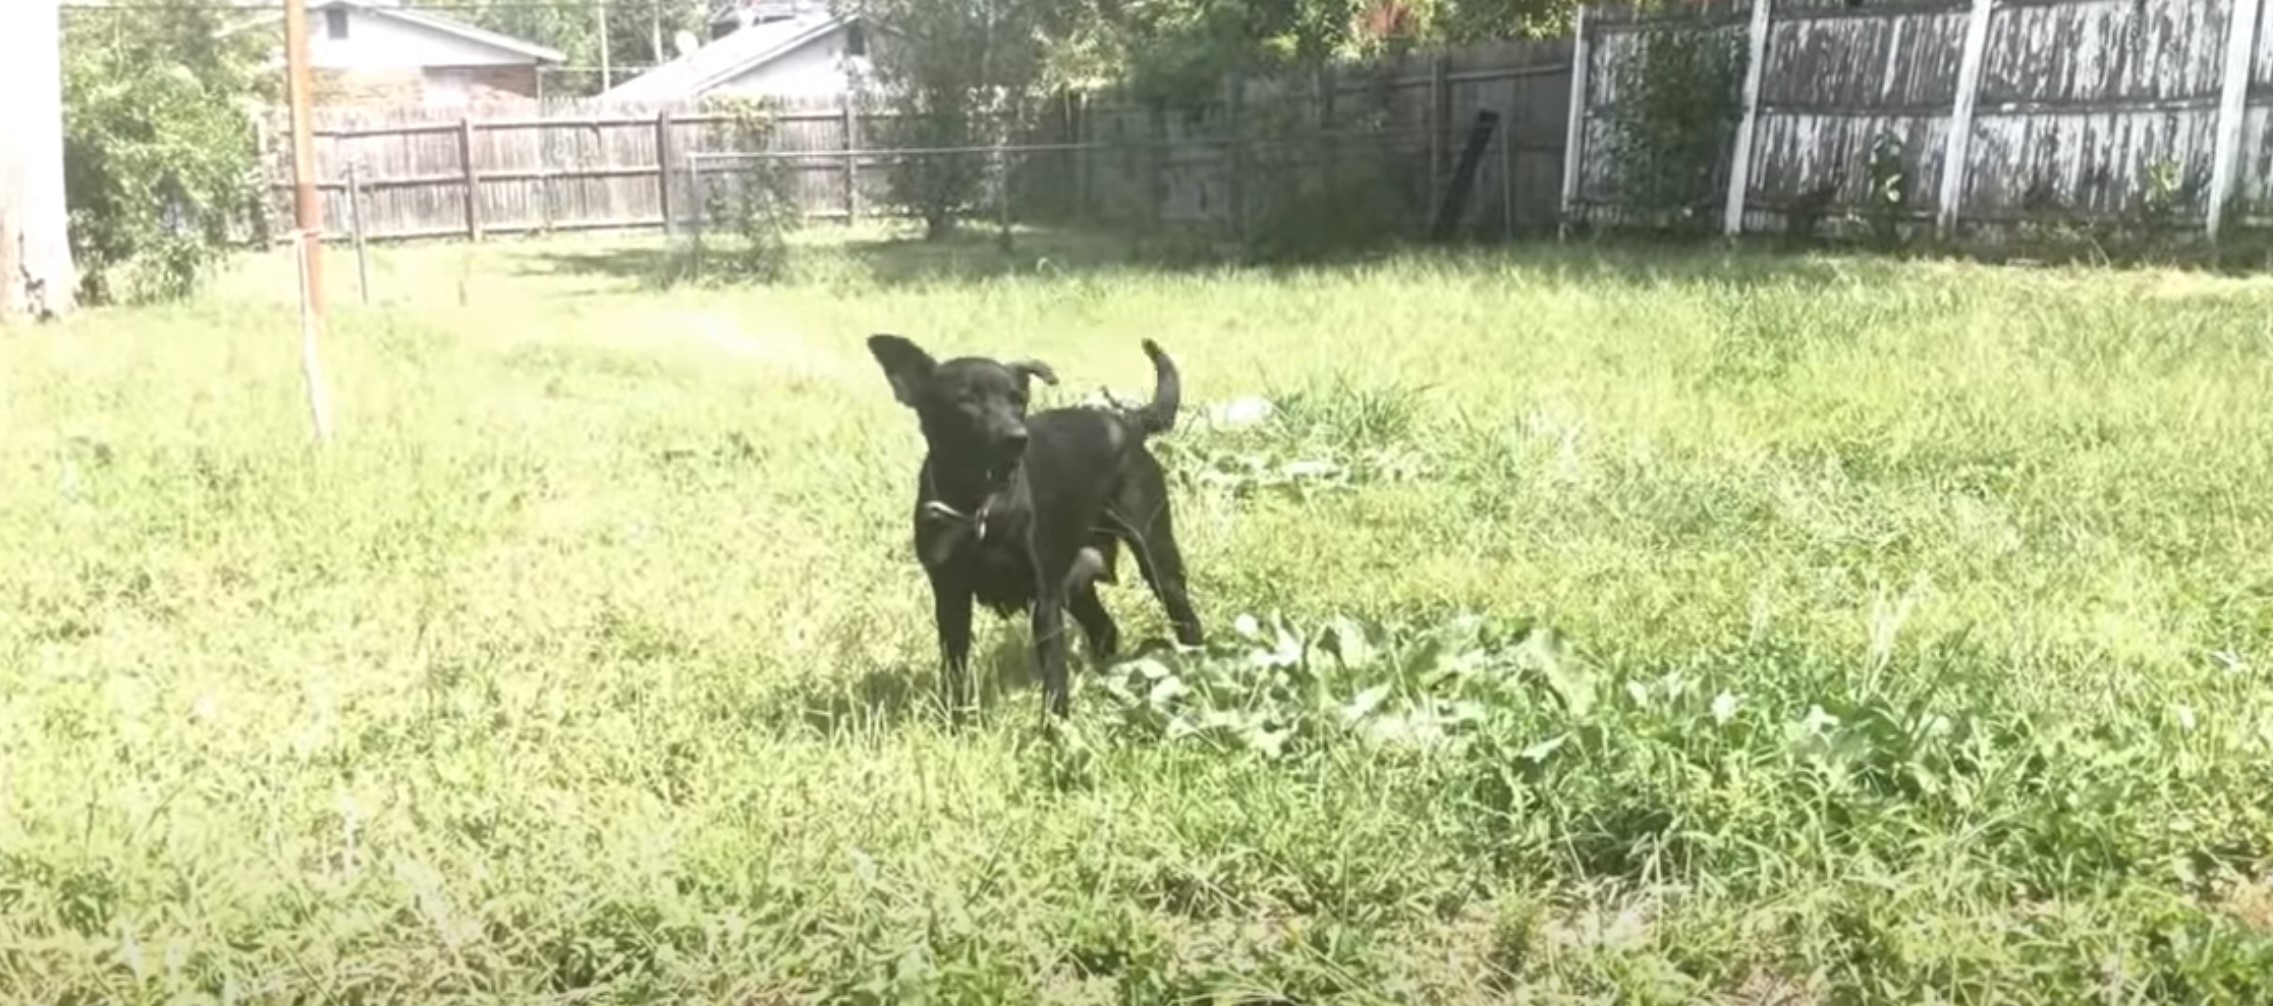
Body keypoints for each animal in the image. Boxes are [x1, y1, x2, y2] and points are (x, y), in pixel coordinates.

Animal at [863, 333, 1209, 722]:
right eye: (966, 399)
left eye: (1019, 399)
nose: (1017, 437)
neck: (980, 507)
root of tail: (1128, 423)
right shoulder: (950, 598)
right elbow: (954, 670)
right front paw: (957, 722)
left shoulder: (1043, 600)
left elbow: (1054, 675)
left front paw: (1054, 727)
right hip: (1076, 581)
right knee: (1105, 629)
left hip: (1154, 555)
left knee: (1183, 615)